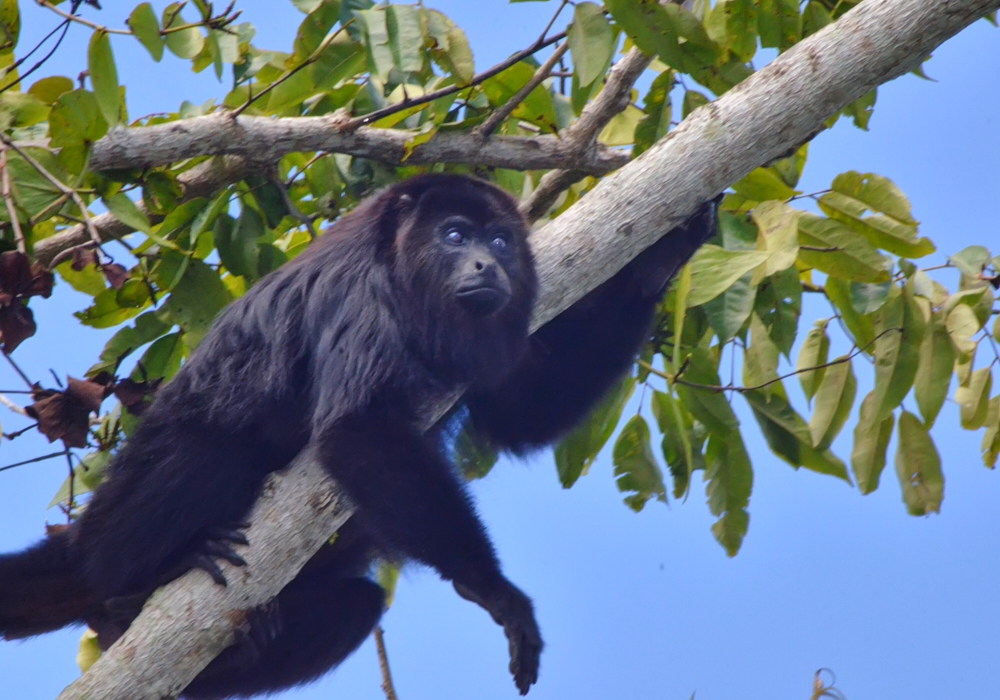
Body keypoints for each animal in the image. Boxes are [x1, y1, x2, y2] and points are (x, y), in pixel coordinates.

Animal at [0, 172, 720, 696]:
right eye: (455, 235)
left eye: (501, 241)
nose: (488, 266)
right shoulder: (364, 299)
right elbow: (357, 432)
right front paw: (494, 590)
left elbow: (523, 417)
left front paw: (666, 250)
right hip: (133, 505)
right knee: (205, 453)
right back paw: (135, 589)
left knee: (358, 606)